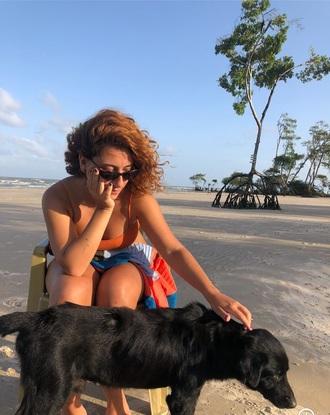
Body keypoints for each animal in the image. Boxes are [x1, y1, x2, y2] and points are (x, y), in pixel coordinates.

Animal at [0, 302, 296, 415]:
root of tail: (37, 317)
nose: (294, 404)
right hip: (53, 387)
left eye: (286, 372)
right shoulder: (184, 395)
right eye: (274, 375)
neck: (215, 341)